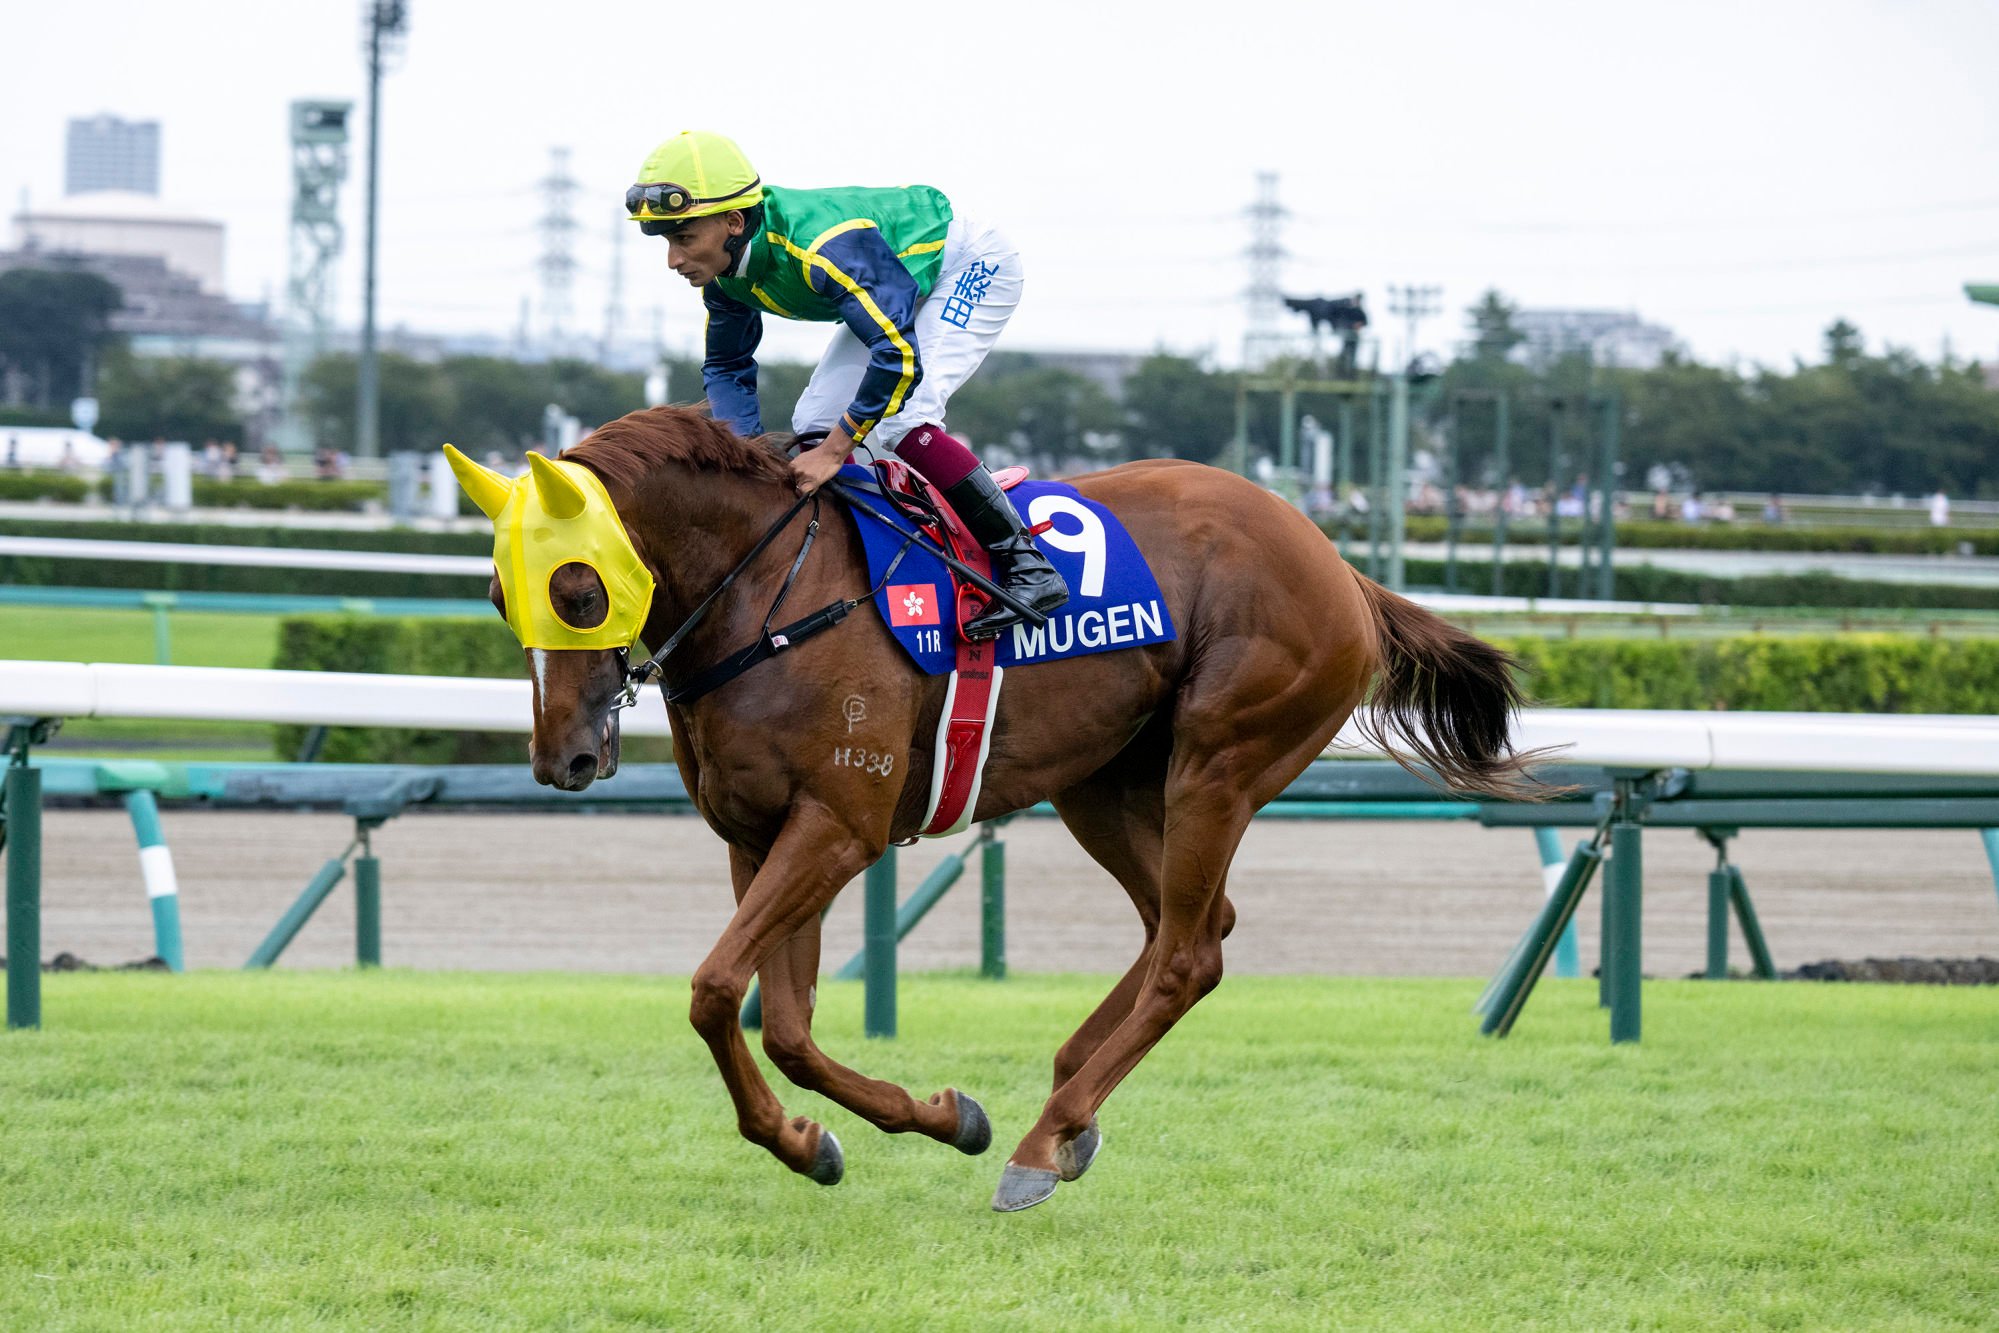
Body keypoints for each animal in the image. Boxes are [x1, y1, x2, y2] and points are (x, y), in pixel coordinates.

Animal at [453, 403, 1535, 1207]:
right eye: (503, 597)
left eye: (580, 591)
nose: (562, 757)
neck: (770, 598)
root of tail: (1339, 564)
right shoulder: (755, 834)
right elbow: (787, 1027)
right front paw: (846, 1134)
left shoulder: (839, 824)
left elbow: (718, 989)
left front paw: (873, 1130)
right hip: (1104, 782)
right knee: (1189, 924)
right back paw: (1070, 1098)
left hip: (1221, 760)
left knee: (1188, 952)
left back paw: (1042, 1140)